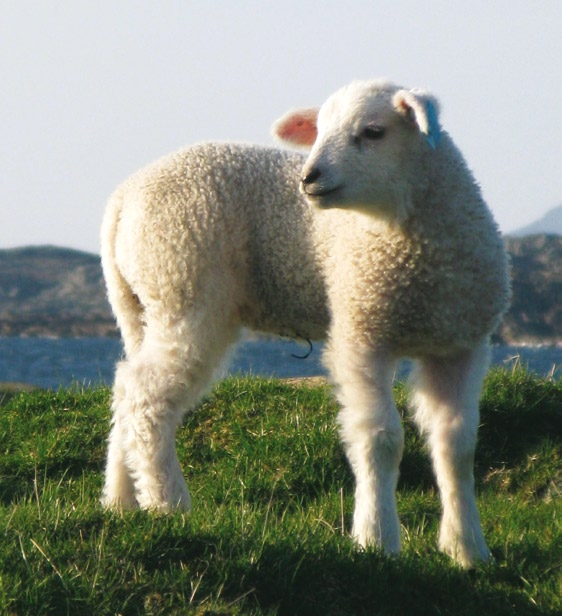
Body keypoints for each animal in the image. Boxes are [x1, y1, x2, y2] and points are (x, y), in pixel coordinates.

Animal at [99, 79, 508, 572]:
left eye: (373, 131)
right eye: (319, 130)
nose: (309, 178)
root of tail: (122, 200)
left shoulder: (460, 345)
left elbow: (457, 445)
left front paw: (468, 549)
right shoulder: (360, 333)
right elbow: (380, 438)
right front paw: (376, 539)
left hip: (143, 302)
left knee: (126, 387)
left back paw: (121, 500)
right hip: (184, 287)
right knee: (146, 399)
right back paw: (168, 505)